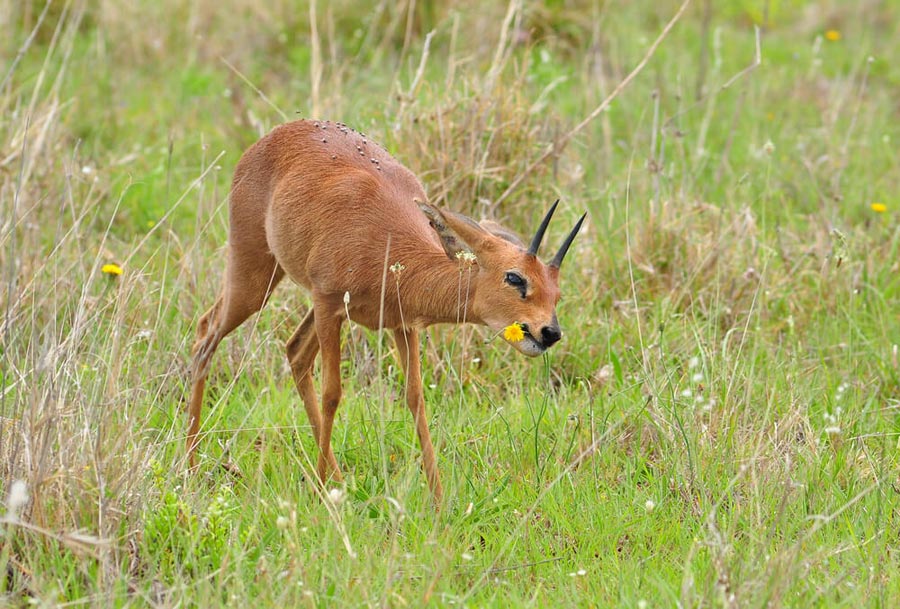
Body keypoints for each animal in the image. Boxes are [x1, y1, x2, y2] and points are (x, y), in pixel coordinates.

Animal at [187, 119, 585, 503]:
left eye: (557, 292)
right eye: (515, 277)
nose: (550, 332)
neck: (393, 250)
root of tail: (269, 138)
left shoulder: (402, 325)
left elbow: (416, 399)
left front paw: (438, 502)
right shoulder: (328, 303)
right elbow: (333, 394)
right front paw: (319, 498)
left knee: (294, 352)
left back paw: (336, 479)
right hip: (256, 276)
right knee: (206, 334)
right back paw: (191, 466)